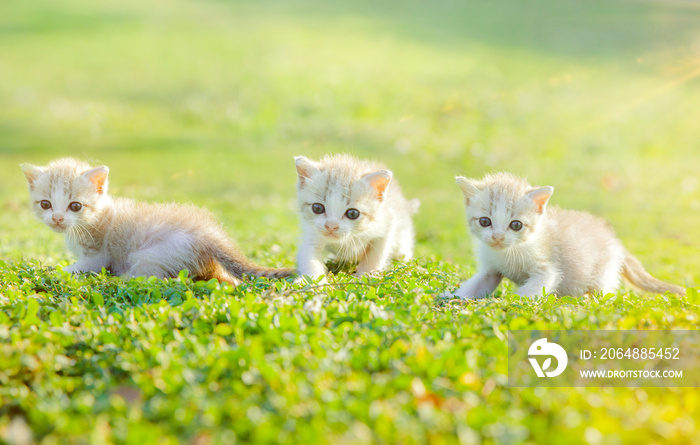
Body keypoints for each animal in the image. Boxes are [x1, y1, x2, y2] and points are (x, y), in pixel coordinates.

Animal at [19, 158, 292, 282]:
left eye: (75, 206)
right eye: (45, 204)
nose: (57, 218)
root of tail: (210, 233)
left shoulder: (97, 256)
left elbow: (75, 267)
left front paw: (49, 271)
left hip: (152, 253)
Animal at [448, 171, 684, 298]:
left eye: (516, 225)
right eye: (485, 221)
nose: (497, 237)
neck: (510, 252)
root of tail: (615, 242)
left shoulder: (547, 270)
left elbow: (527, 293)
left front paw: (505, 304)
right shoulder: (490, 271)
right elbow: (475, 285)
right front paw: (451, 297)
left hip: (602, 276)